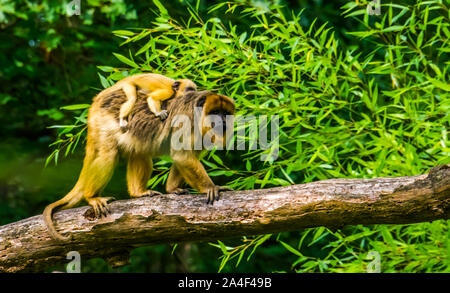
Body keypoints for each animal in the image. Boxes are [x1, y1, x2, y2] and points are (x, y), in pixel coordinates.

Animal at [43, 88, 236, 241]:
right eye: (215, 112)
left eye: (225, 113)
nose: (222, 121)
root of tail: (96, 105)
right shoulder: (187, 121)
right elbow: (183, 155)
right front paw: (211, 187)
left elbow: (184, 156)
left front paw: (172, 189)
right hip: (104, 123)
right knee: (108, 154)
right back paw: (91, 197)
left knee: (140, 152)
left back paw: (138, 192)